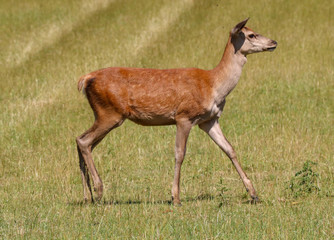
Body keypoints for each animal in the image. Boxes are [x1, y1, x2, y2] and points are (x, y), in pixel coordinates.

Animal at [76, 18, 276, 205]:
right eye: (251, 35)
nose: (273, 42)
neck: (213, 85)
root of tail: (86, 78)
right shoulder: (184, 116)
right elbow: (180, 153)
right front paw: (176, 197)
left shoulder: (209, 120)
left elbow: (229, 149)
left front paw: (254, 193)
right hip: (110, 113)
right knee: (84, 141)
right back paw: (98, 190)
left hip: (105, 114)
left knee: (82, 141)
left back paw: (87, 196)